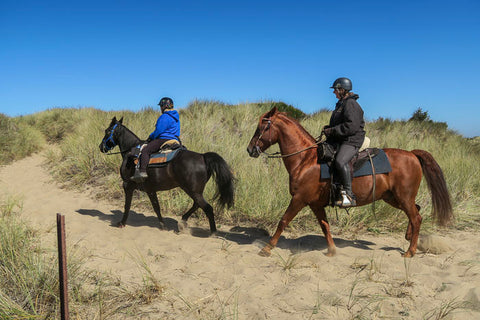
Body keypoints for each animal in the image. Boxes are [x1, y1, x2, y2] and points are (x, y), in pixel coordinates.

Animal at [248, 107, 454, 258]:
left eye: (262, 127)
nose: (250, 149)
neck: (305, 160)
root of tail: (412, 154)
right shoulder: (315, 204)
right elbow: (325, 226)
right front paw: (332, 251)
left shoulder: (299, 199)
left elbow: (283, 221)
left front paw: (266, 248)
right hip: (393, 198)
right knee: (416, 212)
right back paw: (409, 237)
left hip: (403, 197)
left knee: (416, 217)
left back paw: (410, 251)